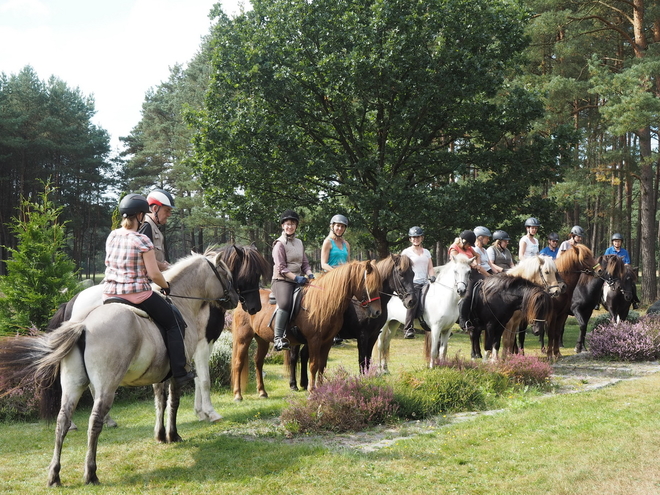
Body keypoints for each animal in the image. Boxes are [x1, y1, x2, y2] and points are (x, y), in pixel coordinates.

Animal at [229, 262, 382, 402]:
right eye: (370, 286)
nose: (377, 312)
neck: (323, 302)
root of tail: (243, 302)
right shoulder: (314, 340)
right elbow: (313, 365)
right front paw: (312, 391)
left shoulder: (327, 341)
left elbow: (322, 365)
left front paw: (321, 389)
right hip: (243, 339)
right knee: (238, 363)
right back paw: (238, 395)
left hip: (262, 340)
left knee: (258, 362)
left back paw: (262, 392)